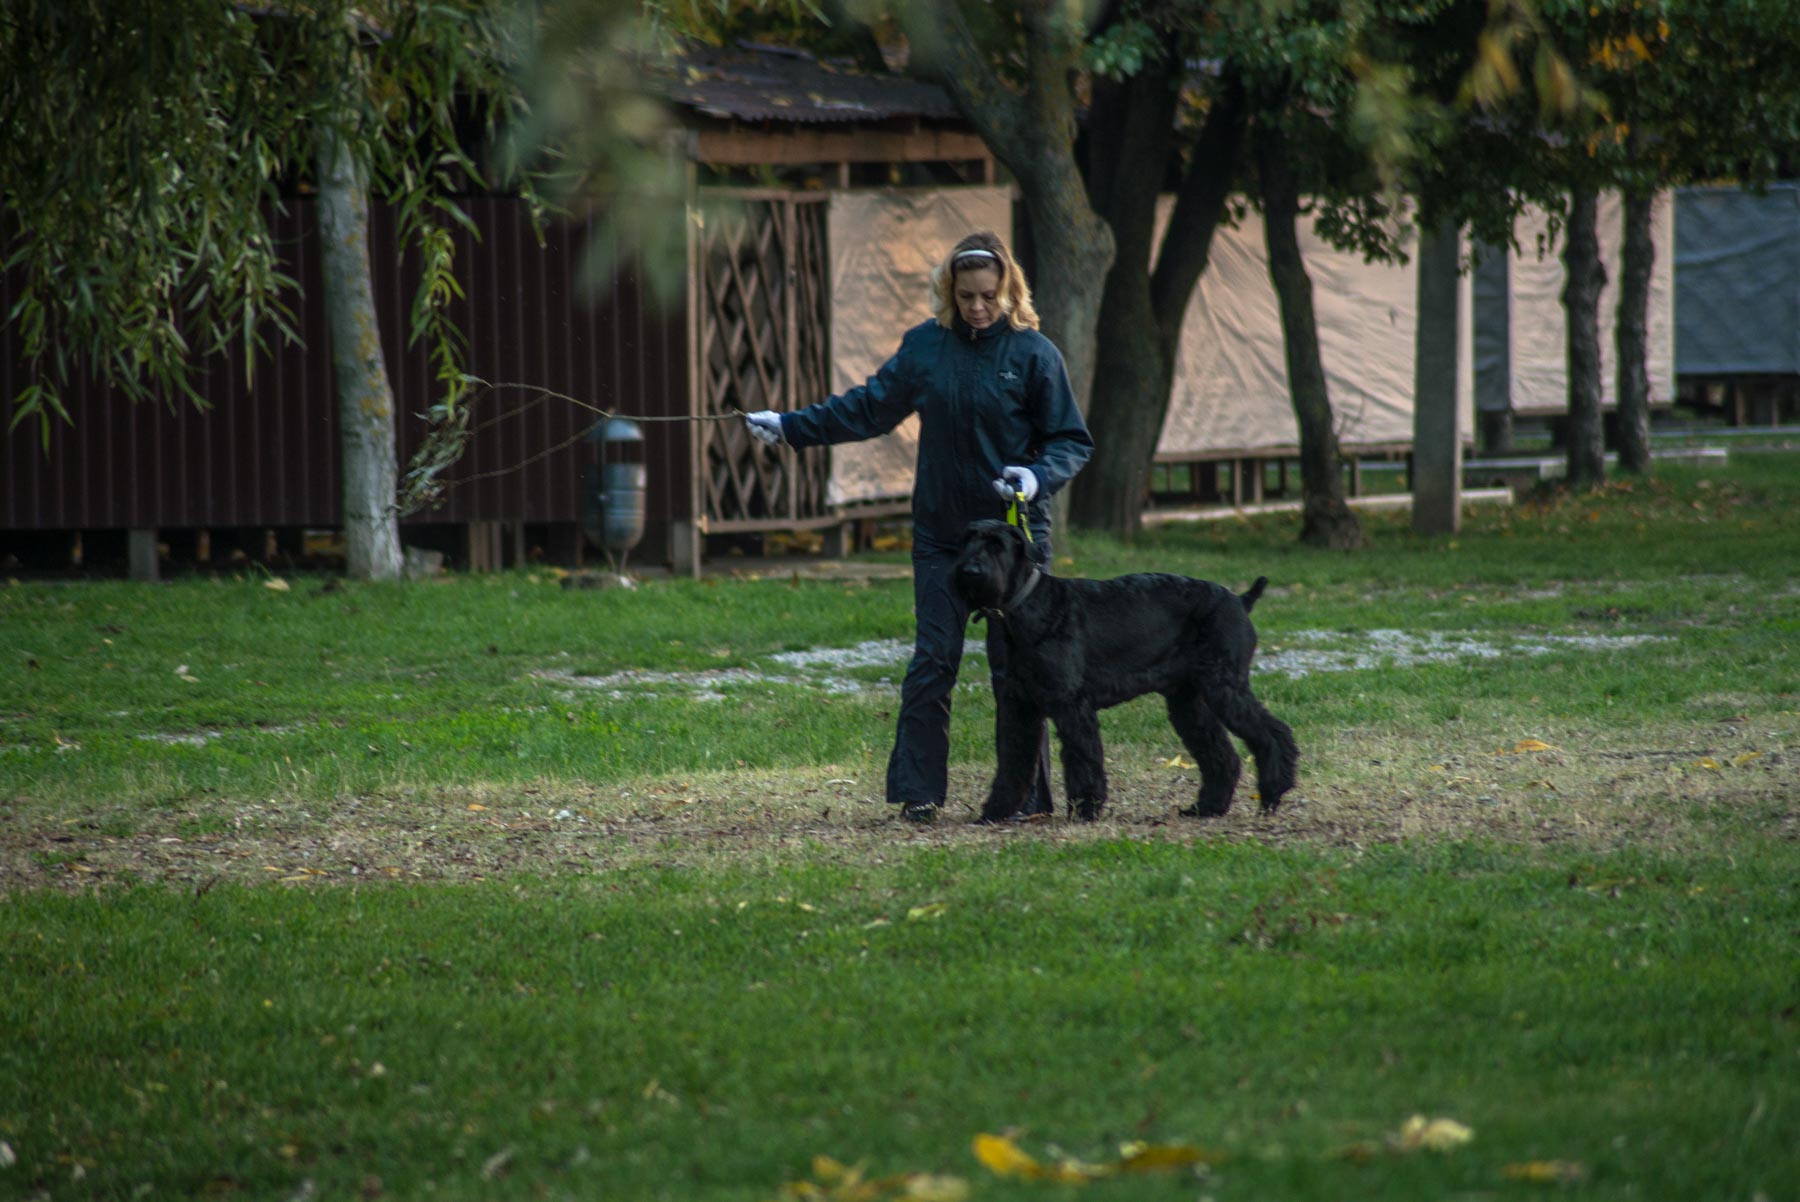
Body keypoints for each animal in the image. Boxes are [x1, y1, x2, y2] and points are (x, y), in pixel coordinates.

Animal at [953, 519, 1297, 822]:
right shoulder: (1017, 706)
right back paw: (1207, 808)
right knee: (1221, 754)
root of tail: (1240, 600)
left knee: (1272, 733)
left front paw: (1086, 809)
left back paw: (1272, 792)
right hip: (1189, 701)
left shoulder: (1071, 705)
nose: (969, 571)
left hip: (1224, 686)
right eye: (967, 540)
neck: (1026, 608)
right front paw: (994, 811)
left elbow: (1083, 759)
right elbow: (1011, 761)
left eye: (996, 545)